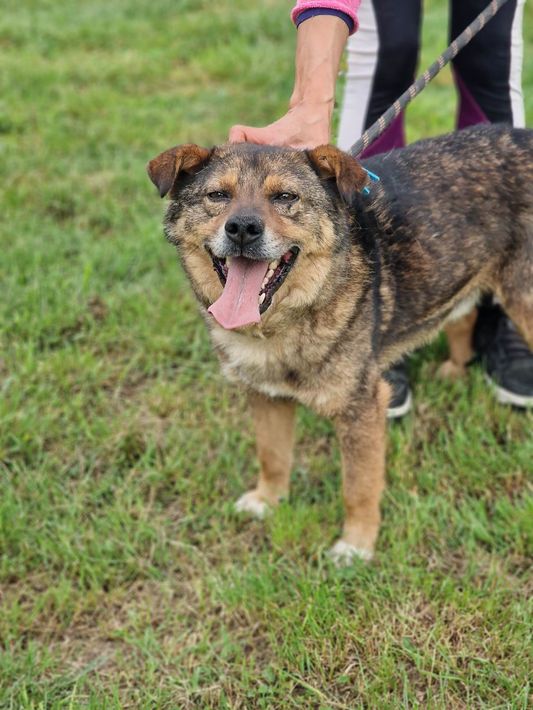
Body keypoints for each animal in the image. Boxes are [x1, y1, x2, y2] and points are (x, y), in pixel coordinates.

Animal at [147, 125, 533, 563]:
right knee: (461, 312)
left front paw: (356, 545)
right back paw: (454, 368)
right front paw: (267, 500)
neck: (280, 325)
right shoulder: (265, 396)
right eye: (217, 195)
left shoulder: (361, 410)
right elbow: (272, 455)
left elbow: (358, 487)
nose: (242, 228)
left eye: (285, 197)